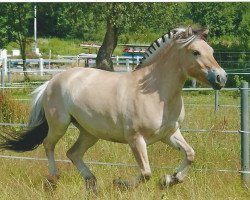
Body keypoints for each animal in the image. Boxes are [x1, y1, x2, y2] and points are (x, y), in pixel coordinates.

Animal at [0, 26, 227, 192]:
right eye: (195, 52)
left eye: (212, 51)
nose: (221, 78)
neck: (155, 92)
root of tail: (52, 81)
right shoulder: (136, 139)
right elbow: (146, 172)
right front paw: (121, 184)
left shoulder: (168, 134)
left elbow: (190, 154)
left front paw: (169, 180)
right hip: (59, 125)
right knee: (49, 145)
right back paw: (53, 180)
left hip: (90, 132)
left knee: (73, 153)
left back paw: (92, 183)